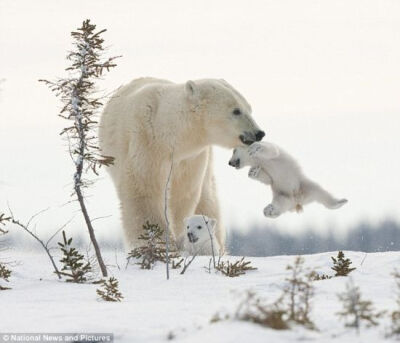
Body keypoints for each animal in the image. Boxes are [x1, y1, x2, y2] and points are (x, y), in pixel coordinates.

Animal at [99, 78, 264, 253]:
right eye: (236, 110)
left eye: (249, 108)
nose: (259, 133)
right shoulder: (147, 144)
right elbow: (145, 191)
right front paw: (161, 244)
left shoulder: (191, 158)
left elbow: (182, 196)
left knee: (208, 199)